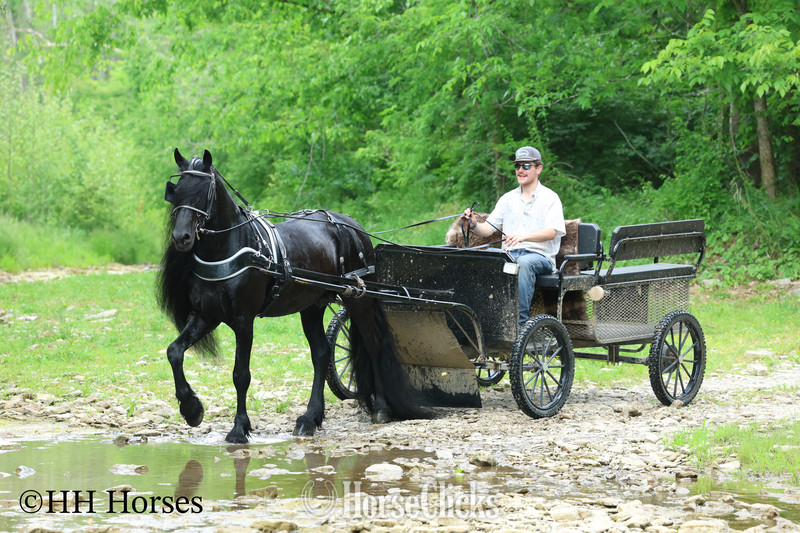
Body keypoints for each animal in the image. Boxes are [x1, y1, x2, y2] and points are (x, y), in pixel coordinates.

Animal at [157, 148, 426, 443]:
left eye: (204, 191)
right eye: (177, 190)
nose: (181, 238)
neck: (232, 248)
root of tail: (351, 224)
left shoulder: (243, 321)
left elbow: (241, 374)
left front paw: (239, 428)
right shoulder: (205, 317)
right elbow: (174, 352)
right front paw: (191, 409)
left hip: (359, 299)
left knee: (373, 344)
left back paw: (381, 408)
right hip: (312, 306)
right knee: (321, 354)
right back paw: (310, 418)